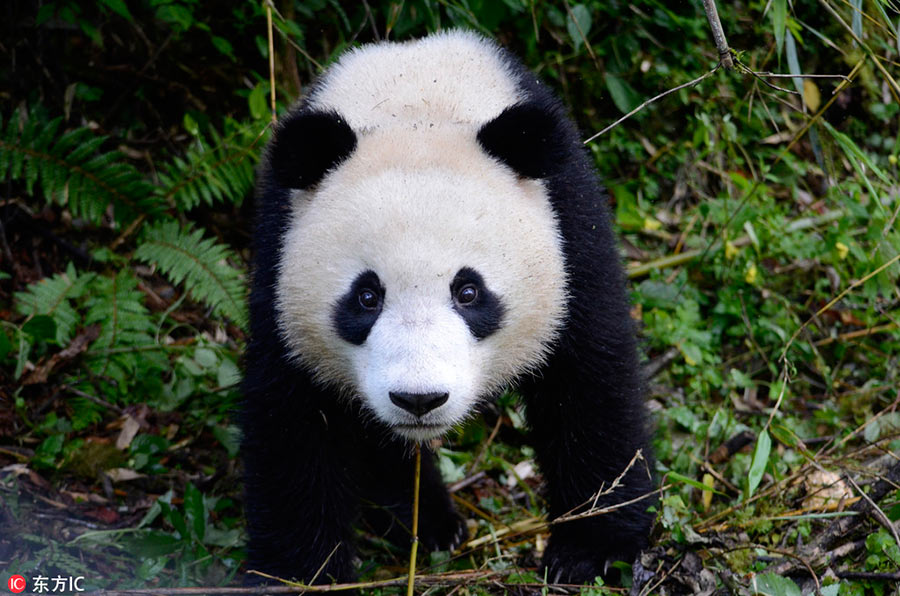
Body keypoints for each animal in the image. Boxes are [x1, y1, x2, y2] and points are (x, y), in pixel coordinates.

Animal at [241, 30, 655, 587]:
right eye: (367, 296)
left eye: (469, 292)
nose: (419, 399)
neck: (418, 105)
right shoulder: (279, 252)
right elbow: (293, 420)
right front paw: (298, 573)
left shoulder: (570, 229)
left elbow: (590, 382)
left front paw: (591, 549)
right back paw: (427, 521)